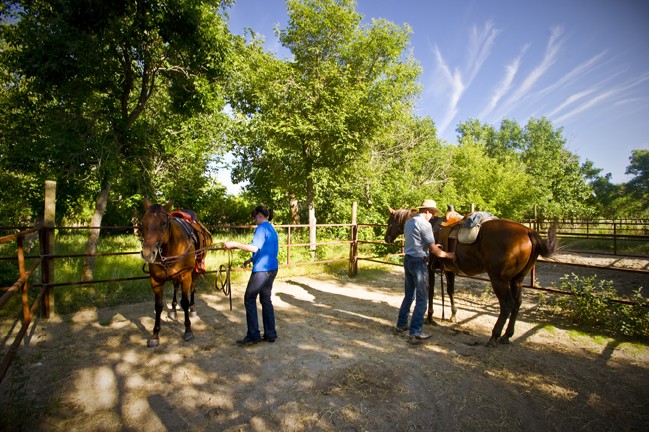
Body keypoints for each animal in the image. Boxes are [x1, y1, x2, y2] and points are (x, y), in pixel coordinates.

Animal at [140, 199, 213, 348]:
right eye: (143, 222)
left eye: (163, 223)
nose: (147, 254)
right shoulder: (155, 280)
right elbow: (158, 305)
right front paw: (155, 335)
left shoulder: (185, 276)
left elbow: (184, 302)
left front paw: (188, 330)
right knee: (175, 286)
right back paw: (173, 310)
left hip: (195, 270)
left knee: (193, 287)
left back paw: (192, 308)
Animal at [384, 208, 556, 346]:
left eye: (389, 222)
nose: (386, 238)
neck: (431, 225)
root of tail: (529, 232)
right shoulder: (449, 270)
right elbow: (450, 290)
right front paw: (453, 315)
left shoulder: (429, 268)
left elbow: (431, 291)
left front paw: (430, 317)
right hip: (517, 280)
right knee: (517, 303)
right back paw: (506, 336)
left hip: (499, 280)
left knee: (507, 305)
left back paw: (494, 337)